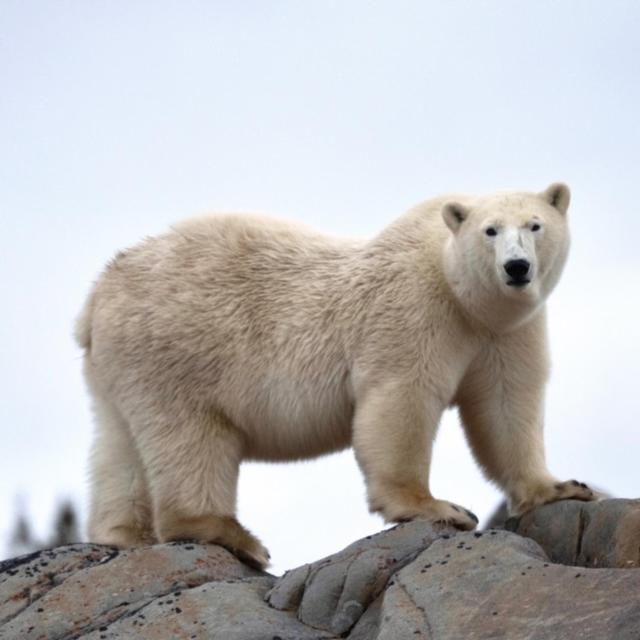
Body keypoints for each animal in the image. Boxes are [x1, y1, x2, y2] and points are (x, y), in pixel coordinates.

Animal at [76, 183, 596, 569]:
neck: (461, 294)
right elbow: (400, 401)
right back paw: (235, 536)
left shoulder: (506, 332)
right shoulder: (413, 309)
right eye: (490, 231)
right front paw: (440, 507)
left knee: (117, 447)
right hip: (179, 348)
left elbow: (507, 404)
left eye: (535, 225)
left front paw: (561, 487)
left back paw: (124, 533)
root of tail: (97, 296)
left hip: (117, 370)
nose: (517, 267)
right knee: (191, 437)